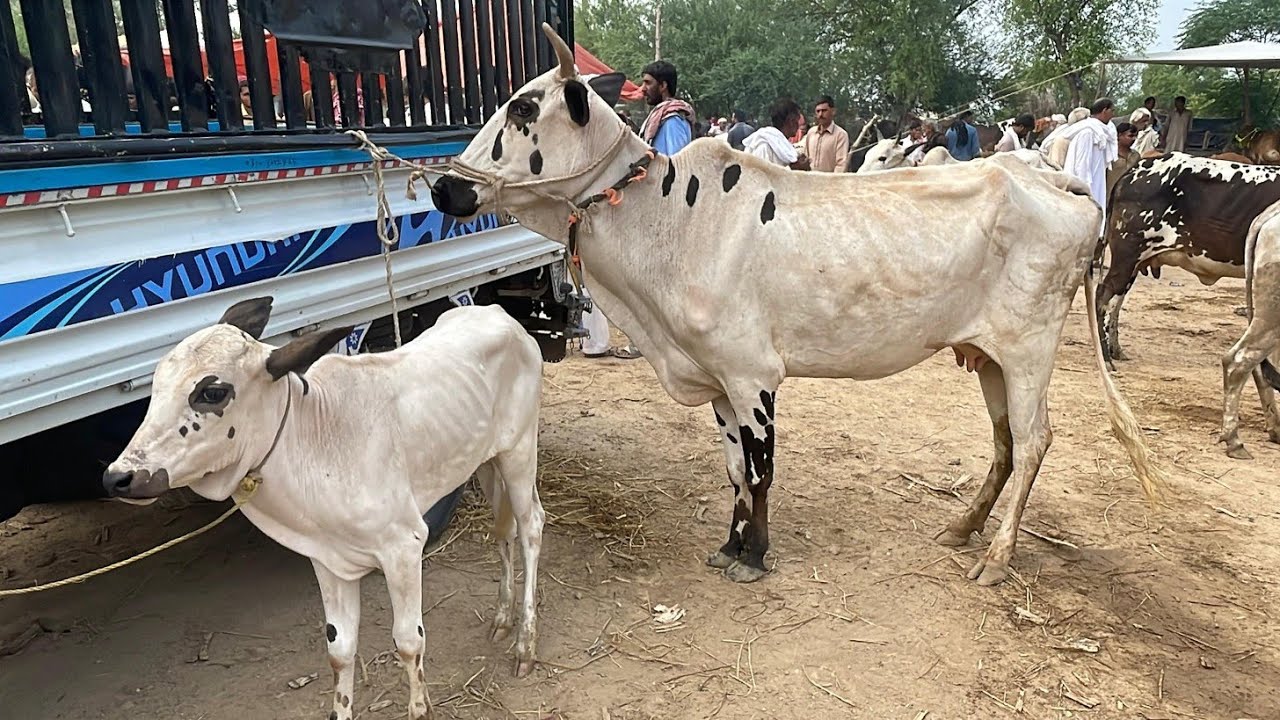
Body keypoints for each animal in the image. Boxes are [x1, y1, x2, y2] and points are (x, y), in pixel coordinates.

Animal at [102, 300, 545, 720]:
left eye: (212, 393)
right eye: (157, 382)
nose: (118, 477)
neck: (317, 438)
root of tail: (499, 314)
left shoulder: (404, 546)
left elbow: (408, 641)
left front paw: (420, 709)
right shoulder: (328, 561)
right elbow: (340, 649)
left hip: (520, 451)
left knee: (530, 527)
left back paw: (525, 644)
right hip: (486, 460)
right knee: (503, 530)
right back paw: (502, 619)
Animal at [430, 23, 1163, 588]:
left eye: (524, 108)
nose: (443, 188)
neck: (668, 220)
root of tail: (1050, 174)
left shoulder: (753, 375)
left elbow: (760, 472)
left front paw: (754, 556)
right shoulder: (719, 379)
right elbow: (732, 470)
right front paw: (729, 545)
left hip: (1029, 349)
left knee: (1036, 440)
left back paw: (1000, 556)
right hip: (986, 355)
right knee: (1006, 440)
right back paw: (962, 527)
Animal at [1096, 153, 1280, 372]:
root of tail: (1134, 171)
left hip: (1135, 261)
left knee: (1116, 300)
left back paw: (1115, 350)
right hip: (1128, 253)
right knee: (1105, 297)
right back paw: (1106, 358)